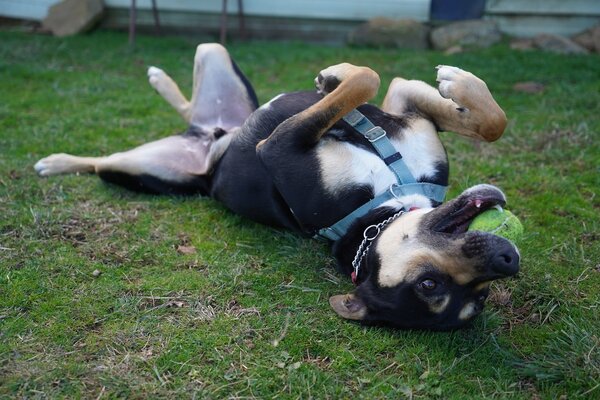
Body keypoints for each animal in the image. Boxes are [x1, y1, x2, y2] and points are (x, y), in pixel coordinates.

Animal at [35, 43, 516, 332]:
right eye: (431, 284)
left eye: (476, 294)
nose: (507, 258)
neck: (377, 212)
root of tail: (208, 155)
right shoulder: (394, 112)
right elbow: (485, 120)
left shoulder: (279, 145)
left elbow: (373, 81)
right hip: (218, 71)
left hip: (139, 169)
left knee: (103, 162)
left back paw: (62, 157)